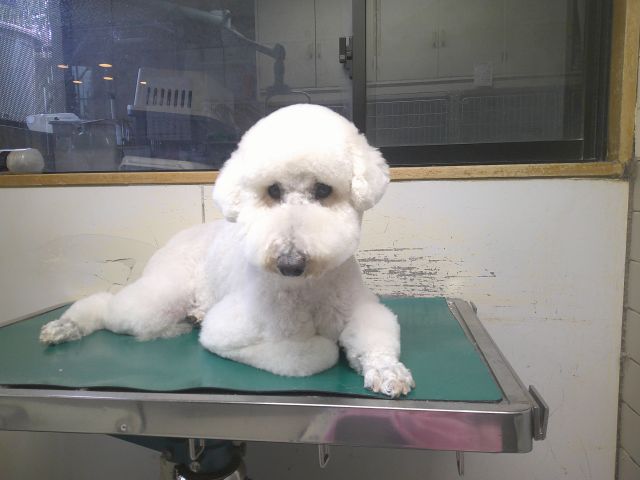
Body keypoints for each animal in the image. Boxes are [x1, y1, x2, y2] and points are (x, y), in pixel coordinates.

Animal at [39, 104, 415, 397]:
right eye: (273, 190)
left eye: (323, 190)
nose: (290, 263)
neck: (307, 288)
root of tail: (179, 237)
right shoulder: (228, 332)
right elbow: (310, 356)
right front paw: (328, 346)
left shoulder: (364, 310)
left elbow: (376, 339)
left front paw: (386, 371)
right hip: (160, 296)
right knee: (107, 307)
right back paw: (66, 326)